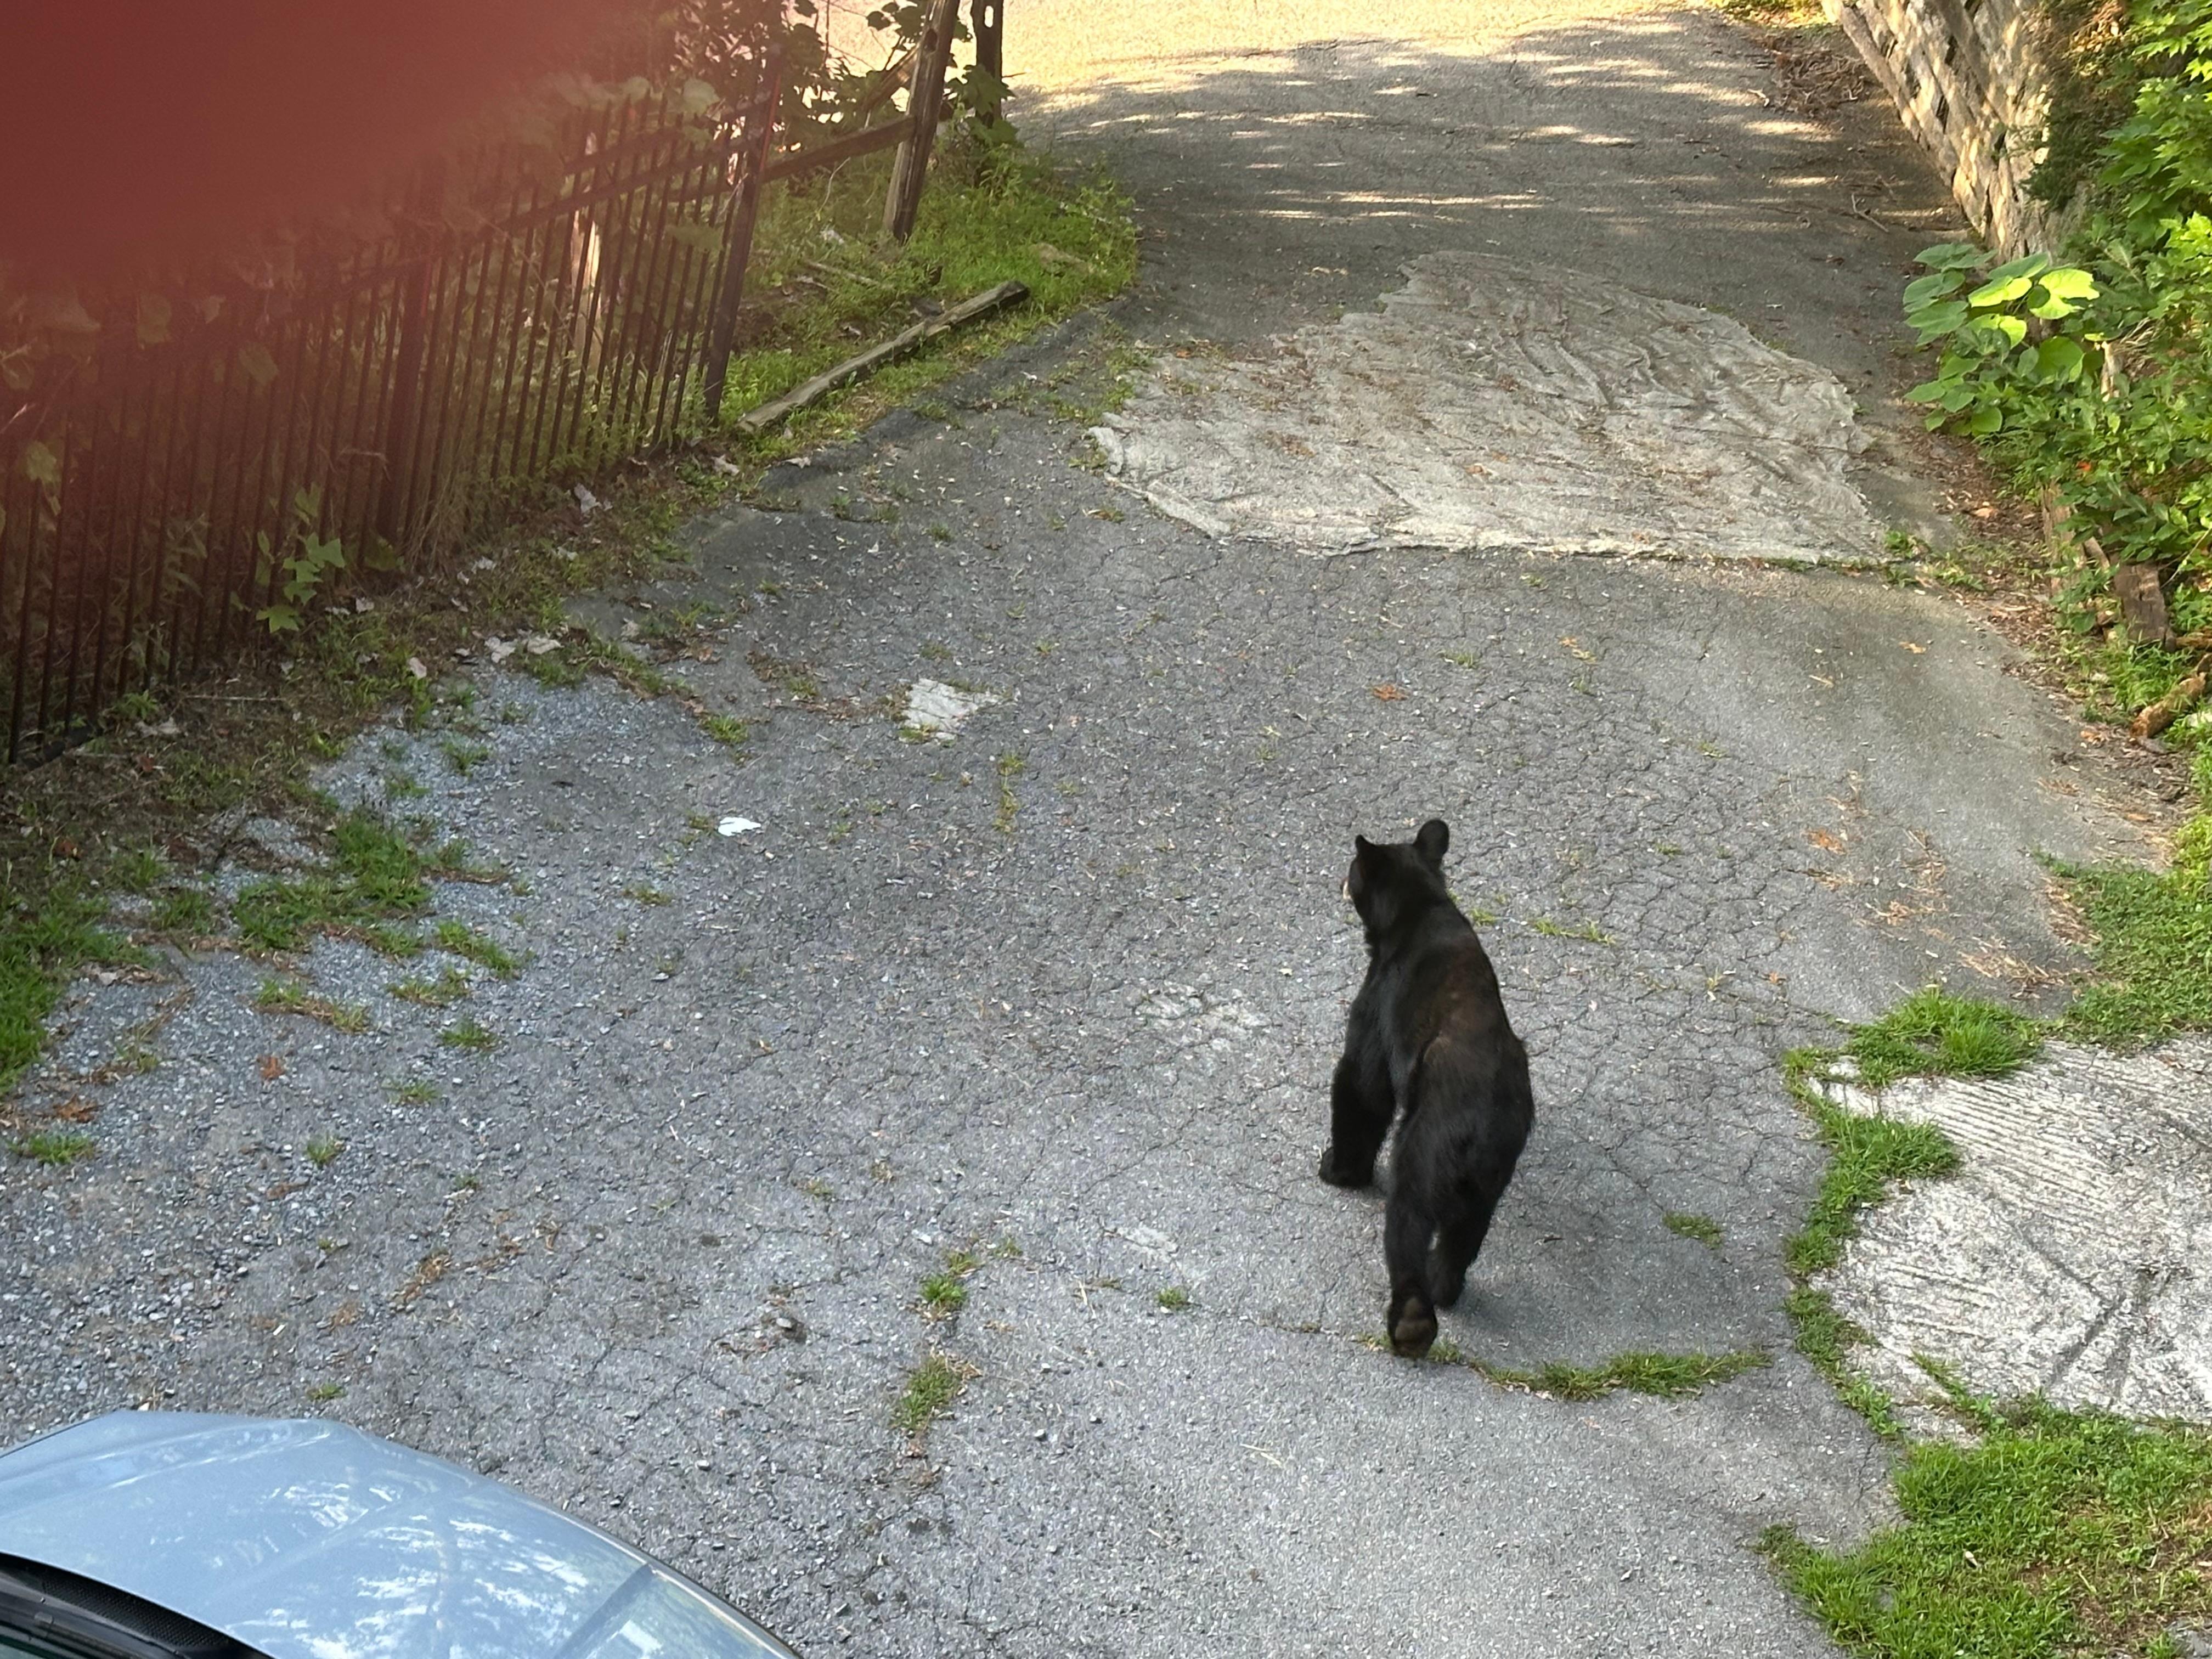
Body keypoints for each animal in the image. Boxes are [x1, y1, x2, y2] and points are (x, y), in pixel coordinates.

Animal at [1319, 818, 1534, 1358]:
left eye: (1353, 868)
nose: (1340, 879)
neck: (1421, 907)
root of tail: (1486, 1118)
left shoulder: (1378, 998)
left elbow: (1362, 1084)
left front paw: (1337, 1168)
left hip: (1427, 1144)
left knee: (1410, 1217)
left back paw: (1413, 1319)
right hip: (1492, 1172)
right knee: (1466, 1230)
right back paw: (1445, 1285)